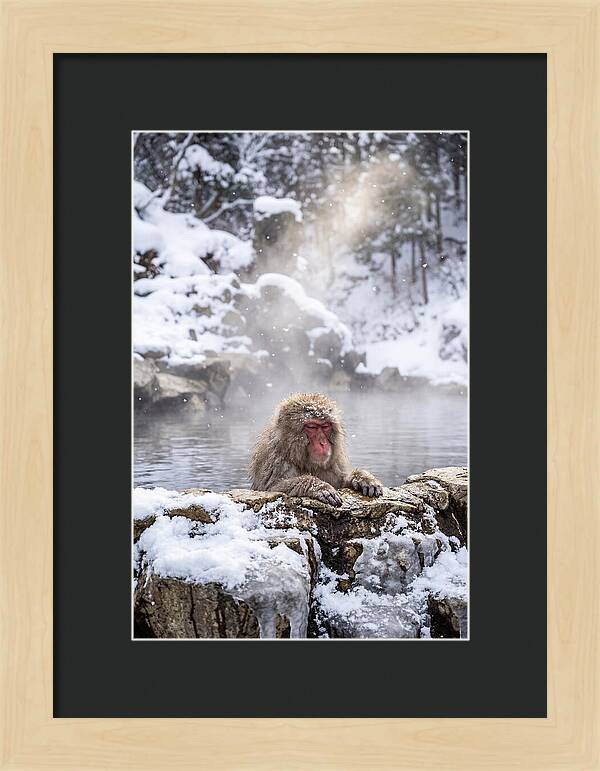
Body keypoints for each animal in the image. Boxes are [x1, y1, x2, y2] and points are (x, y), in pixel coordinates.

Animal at [249, 393, 383, 507]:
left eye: (325, 426)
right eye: (312, 427)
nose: (323, 443)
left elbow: (341, 483)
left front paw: (362, 478)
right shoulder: (275, 460)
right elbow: (272, 489)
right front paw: (319, 487)